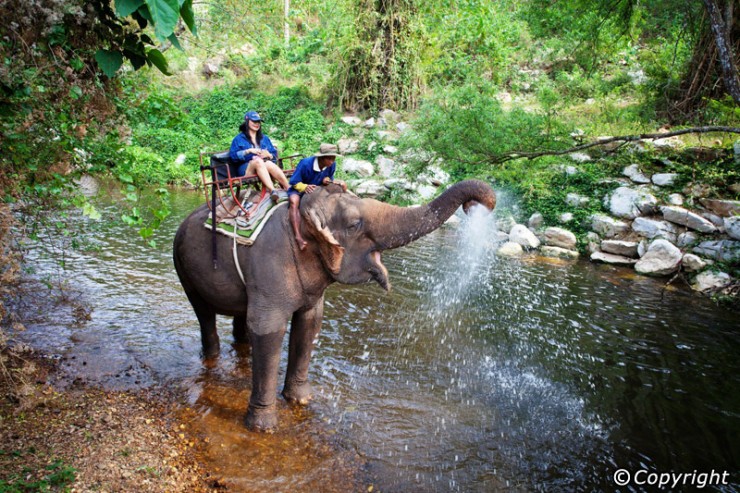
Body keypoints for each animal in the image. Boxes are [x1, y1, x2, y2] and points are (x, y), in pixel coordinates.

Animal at [174, 179, 494, 428]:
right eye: (354, 224)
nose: (480, 205)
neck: (302, 215)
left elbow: (310, 321)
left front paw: (302, 399)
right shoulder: (270, 265)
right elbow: (268, 328)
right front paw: (263, 427)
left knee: (241, 320)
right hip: (183, 266)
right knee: (204, 314)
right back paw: (211, 359)